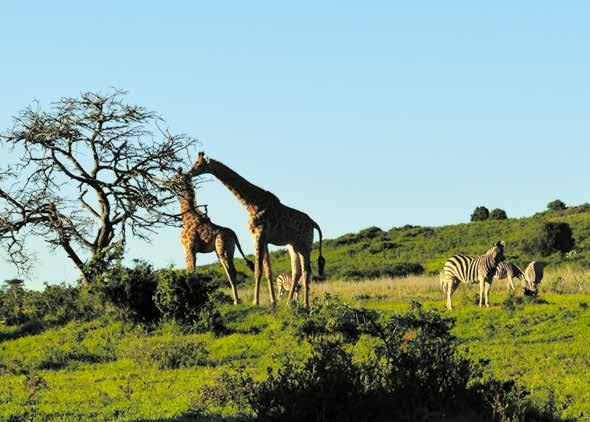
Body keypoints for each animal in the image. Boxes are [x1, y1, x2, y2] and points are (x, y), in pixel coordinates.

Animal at [170, 167, 256, 304]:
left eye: (174, 178)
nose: (166, 183)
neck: (187, 217)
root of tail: (234, 235)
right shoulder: (192, 250)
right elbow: (193, 271)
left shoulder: (188, 248)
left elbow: (190, 270)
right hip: (224, 251)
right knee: (230, 271)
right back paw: (235, 299)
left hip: (222, 249)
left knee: (232, 271)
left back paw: (236, 301)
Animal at [191, 153, 326, 308]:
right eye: (195, 163)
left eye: (199, 165)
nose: (189, 173)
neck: (251, 203)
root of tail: (313, 223)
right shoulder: (263, 239)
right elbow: (268, 271)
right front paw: (273, 302)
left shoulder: (259, 235)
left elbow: (258, 270)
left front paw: (255, 302)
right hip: (293, 245)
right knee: (297, 271)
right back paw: (288, 303)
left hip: (305, 244)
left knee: (306, 270)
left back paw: (305, 305)